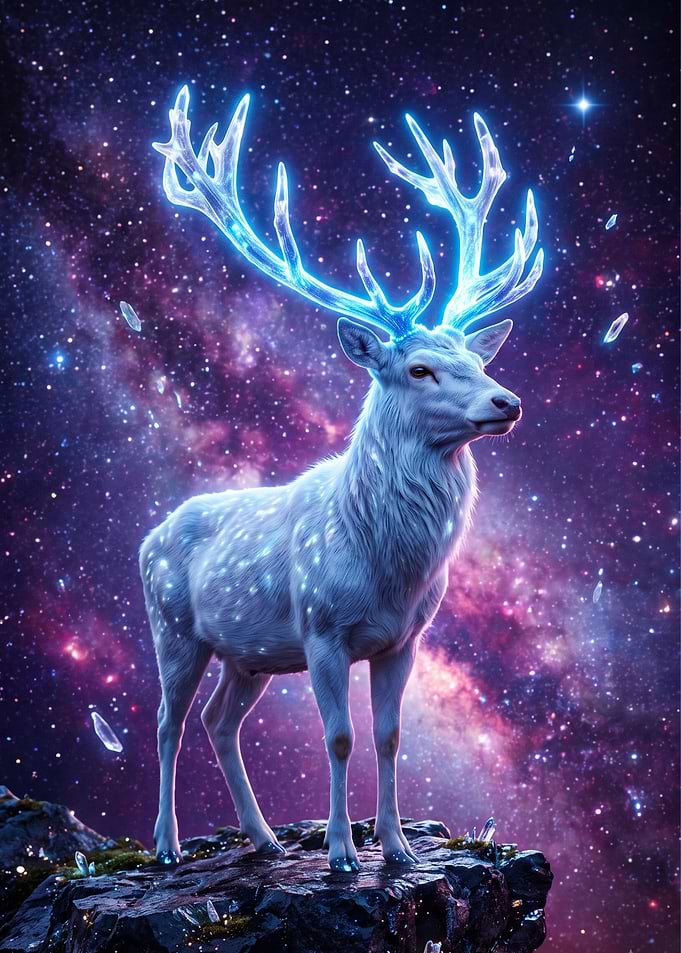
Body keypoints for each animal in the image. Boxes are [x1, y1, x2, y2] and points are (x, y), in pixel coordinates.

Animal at [143, 86, 543, 872]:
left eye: (476, 360)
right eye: (419, 368)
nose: (506, 401)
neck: (389, 567)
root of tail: (147, 537)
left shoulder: (404, 639)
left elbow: (389, 737)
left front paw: (397, 847)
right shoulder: (322, 628)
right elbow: (338, 737)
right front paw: (339, 852)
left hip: (251, 654)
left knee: (217, 720)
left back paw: (264, 838)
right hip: (172, 626)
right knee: (168, 722)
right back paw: (169, 846)